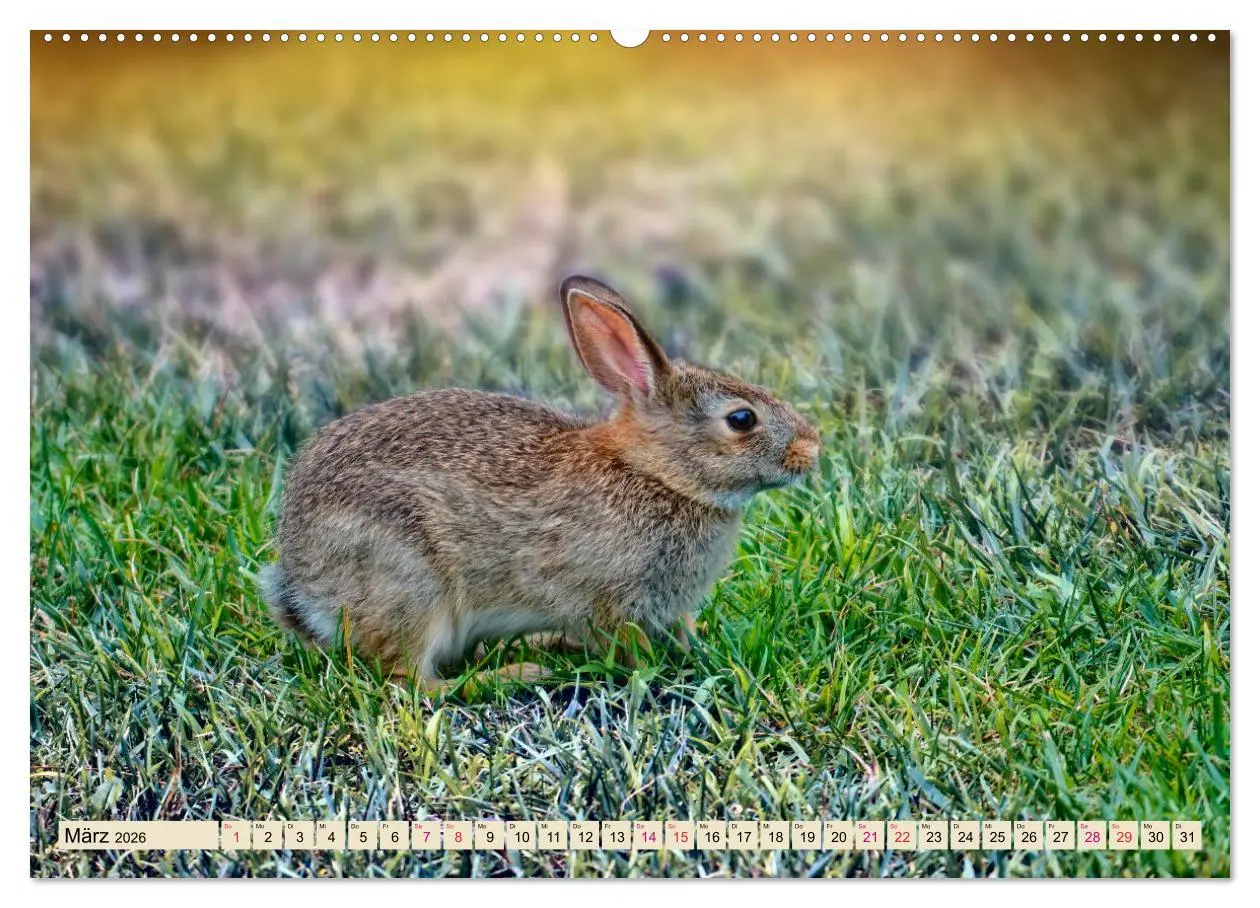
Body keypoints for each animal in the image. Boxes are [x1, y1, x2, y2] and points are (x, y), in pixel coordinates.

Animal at [259, 275, 821, 690]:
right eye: (742, 419)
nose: (812, 448)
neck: (658, 475)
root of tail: (302, 585)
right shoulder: (608, 601)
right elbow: (628, 647)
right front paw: (656, 667)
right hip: (408, 582)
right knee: (411, 680)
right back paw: (515, 673)